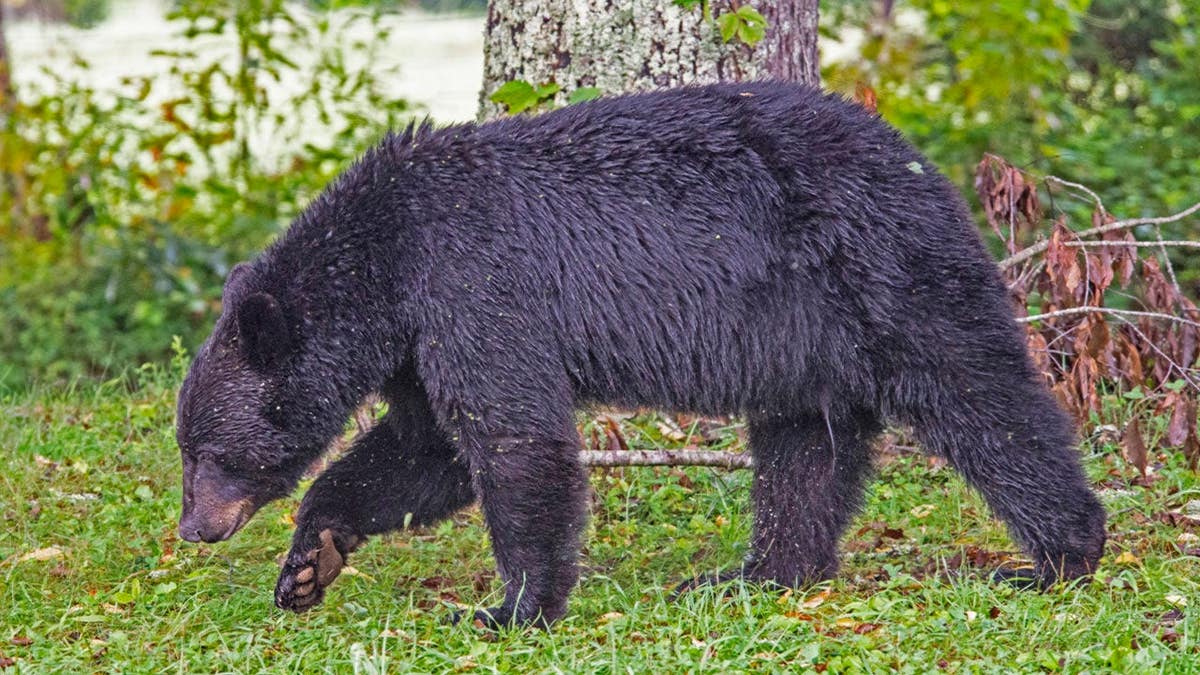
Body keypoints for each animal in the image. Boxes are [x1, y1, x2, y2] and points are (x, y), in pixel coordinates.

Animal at [175, 81, 1107, 629]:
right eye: (188, 447)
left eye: (213, 450)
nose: (193, 528)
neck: (387, 256)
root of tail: (917, 159)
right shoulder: (416, 337)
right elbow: (423, 447)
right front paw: (309, 561)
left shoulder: (473, 281)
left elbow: (513, 439)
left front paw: (510, 607)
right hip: (805, 340)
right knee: (806, 450)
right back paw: (757, 574)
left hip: (889, 275)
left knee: (981, 395)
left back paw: (1059, 556)